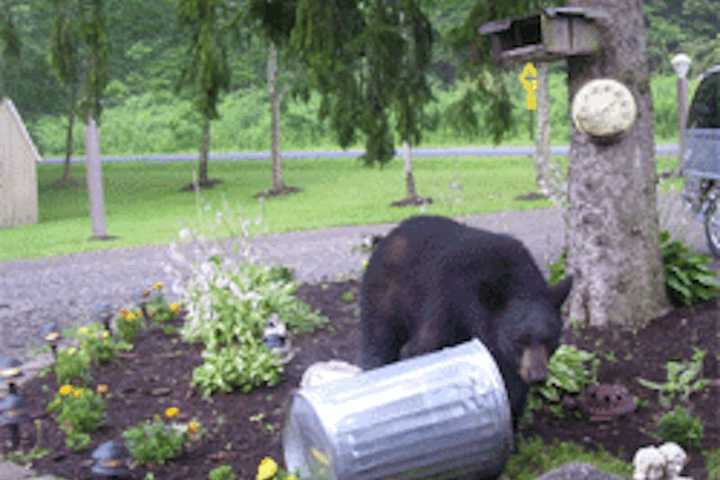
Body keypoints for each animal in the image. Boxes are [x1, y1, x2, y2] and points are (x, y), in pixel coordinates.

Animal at [360, 216, 572, 422]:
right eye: (518, 340)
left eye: (550, 339)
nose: (537, 376)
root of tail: (390, 235)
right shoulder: (447, 304)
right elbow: (421, 349)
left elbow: (513, 391)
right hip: (385, 298)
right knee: (378, 340)